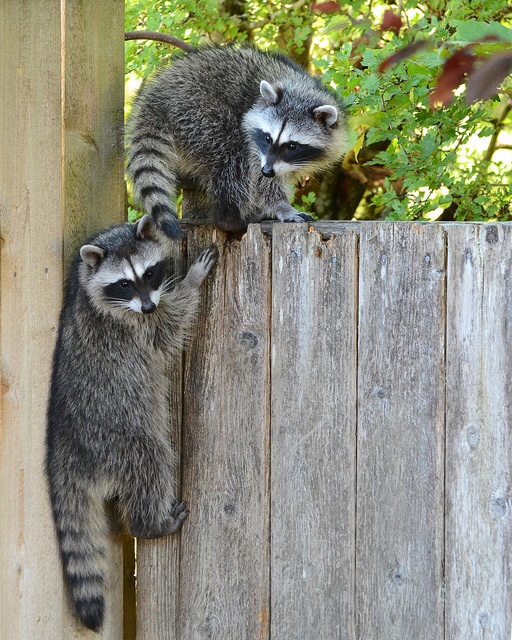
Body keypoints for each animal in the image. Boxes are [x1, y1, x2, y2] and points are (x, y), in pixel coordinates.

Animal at [45, 214, 217, 632]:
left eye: (149, 273)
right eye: (124, 283)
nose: (149, 304)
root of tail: (64, 443)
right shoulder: (132, 326)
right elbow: (167, 331)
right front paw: (192, 281)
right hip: (119, 438)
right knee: (150, 460)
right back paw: (150, 523)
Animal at [126, 45, 348, 238]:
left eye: (292, 146)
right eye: (268, 138)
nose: (267, 170)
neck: (299, 90)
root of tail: (156, 97)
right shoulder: (254, 145)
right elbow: (258, 178)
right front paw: (281, 206)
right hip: (198, 112)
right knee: (231, 157)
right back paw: (232, 218)